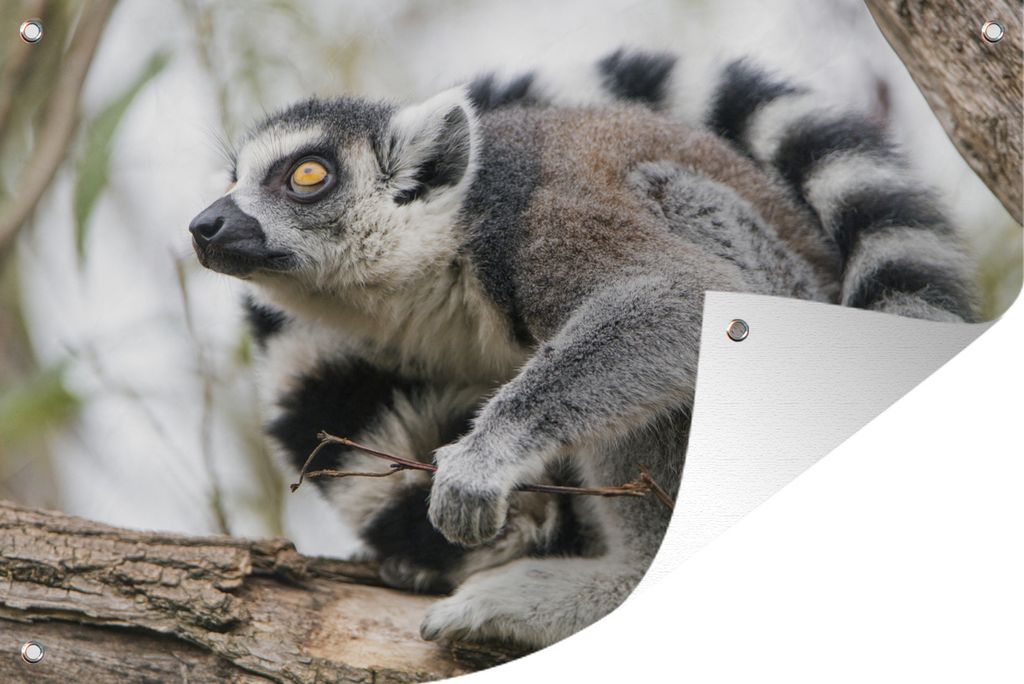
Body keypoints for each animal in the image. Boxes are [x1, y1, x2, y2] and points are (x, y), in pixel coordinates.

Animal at [188, 48, 977, 648]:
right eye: (232, 179)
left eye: (307, 176)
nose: (205, 224)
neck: (446, 259)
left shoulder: (545, 220)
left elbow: (682, 299)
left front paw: (483, 461)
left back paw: (619, 584)